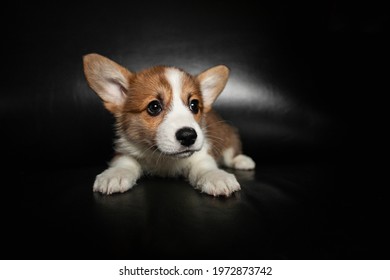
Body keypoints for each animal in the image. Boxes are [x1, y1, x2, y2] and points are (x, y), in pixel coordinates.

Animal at [82, 53, 256, 197]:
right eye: (154, 107)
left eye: (194, 105)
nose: (188, 136)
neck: (164, 159)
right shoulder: (125, 150)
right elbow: (124, 162)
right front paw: (115, 174)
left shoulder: (202, 154)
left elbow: (204, 166)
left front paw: (216, 176)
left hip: (228, 136)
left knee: (231, 153)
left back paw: (243, 161)